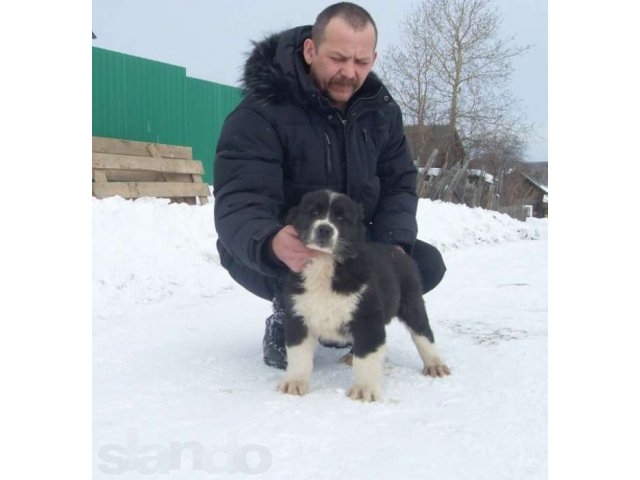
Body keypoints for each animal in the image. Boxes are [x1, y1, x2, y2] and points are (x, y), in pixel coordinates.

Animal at [278, 190, 450, 402]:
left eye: (341, 218)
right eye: (313, 212)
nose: (324, 229)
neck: (325, 264)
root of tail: (399, 253)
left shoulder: (367, 316)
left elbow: (367, 355)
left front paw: (364, 389)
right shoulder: (297, 314)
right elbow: (298, 353)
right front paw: (294, 383)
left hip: (412, 302)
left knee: (423, 334)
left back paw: (435, 364)